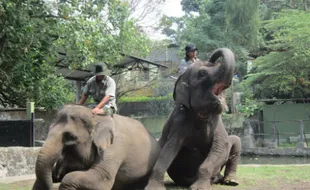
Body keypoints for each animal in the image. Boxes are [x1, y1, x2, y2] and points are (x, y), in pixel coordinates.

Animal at [146, 47, 242, 190]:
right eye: (202, 73)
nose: (213, 58)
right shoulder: (179, 120)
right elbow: (170, 147)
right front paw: (153, 187)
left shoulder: (217, 121)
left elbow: (220, 146)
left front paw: (199, 187)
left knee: (236, 140)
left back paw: (230, 181)